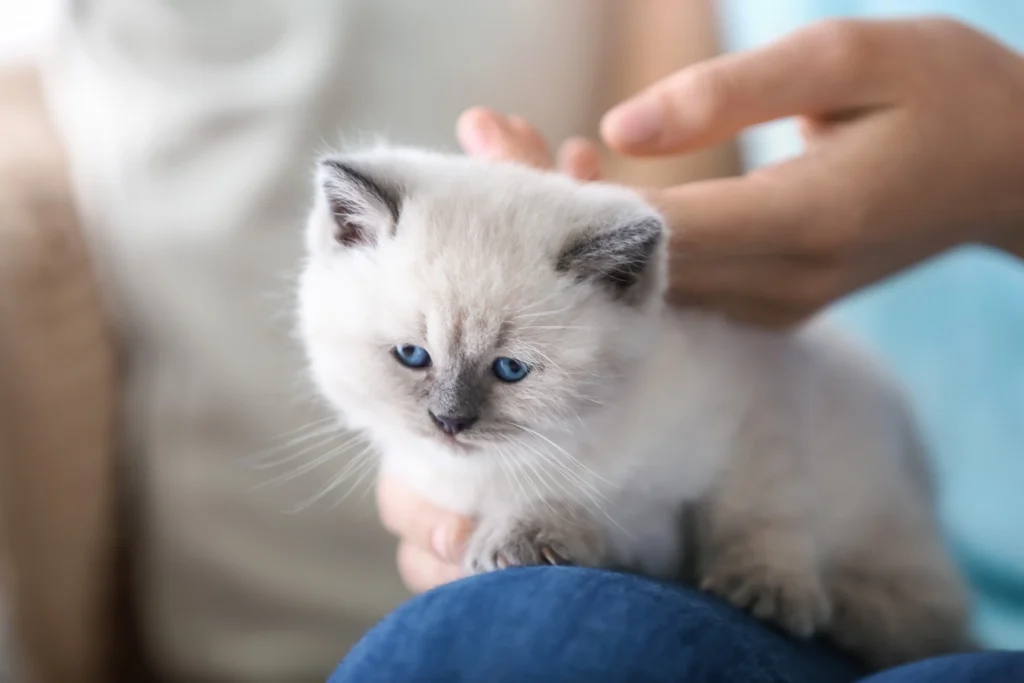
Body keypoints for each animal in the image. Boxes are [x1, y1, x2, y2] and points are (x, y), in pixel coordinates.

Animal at [294, 145, 966, 667]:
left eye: (510, 369)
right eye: (413, 356)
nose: (450, 422)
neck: (585, 430)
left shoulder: (759, 401)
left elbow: (756, 512)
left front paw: (767, 594)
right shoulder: (638, 533)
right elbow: (604, 521)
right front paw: (531, 534)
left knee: (934, 620)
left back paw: (852, 611)